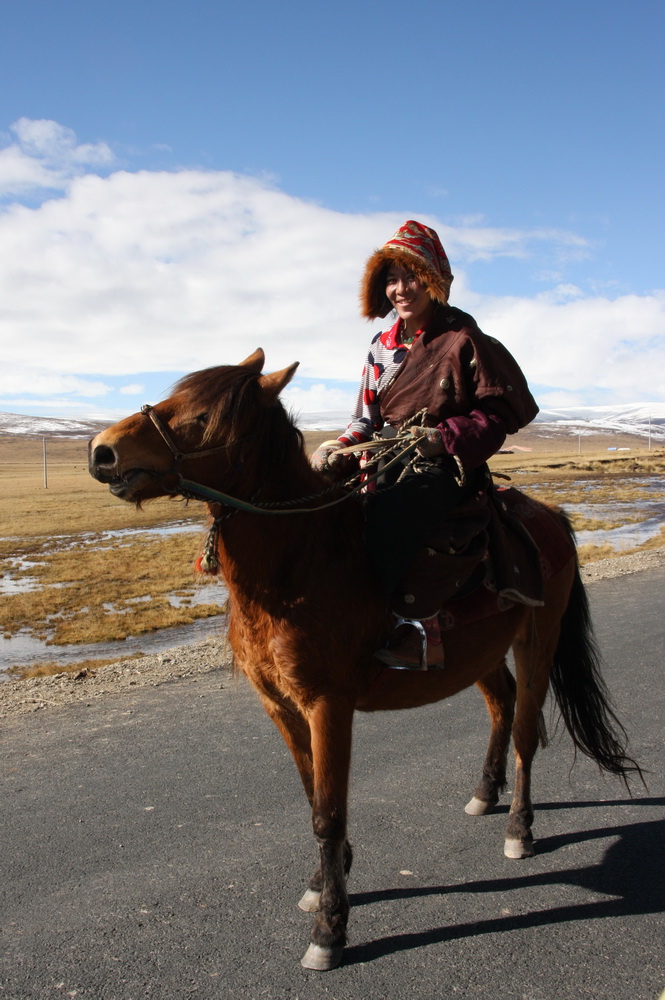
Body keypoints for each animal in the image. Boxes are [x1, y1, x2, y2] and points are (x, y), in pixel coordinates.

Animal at [88, 350, 640, 968]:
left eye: (203, 414)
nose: (102, 451)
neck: (298, 566)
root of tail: (549, 516)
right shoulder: (280, 706)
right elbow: (312, 795)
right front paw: (323, 882)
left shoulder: (329, 705)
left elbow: (329, 812)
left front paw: (331, 928)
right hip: (478, 654)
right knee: (502, 707)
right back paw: (484, 793)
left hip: (537, 640)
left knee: (526, 729)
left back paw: (520, 828)